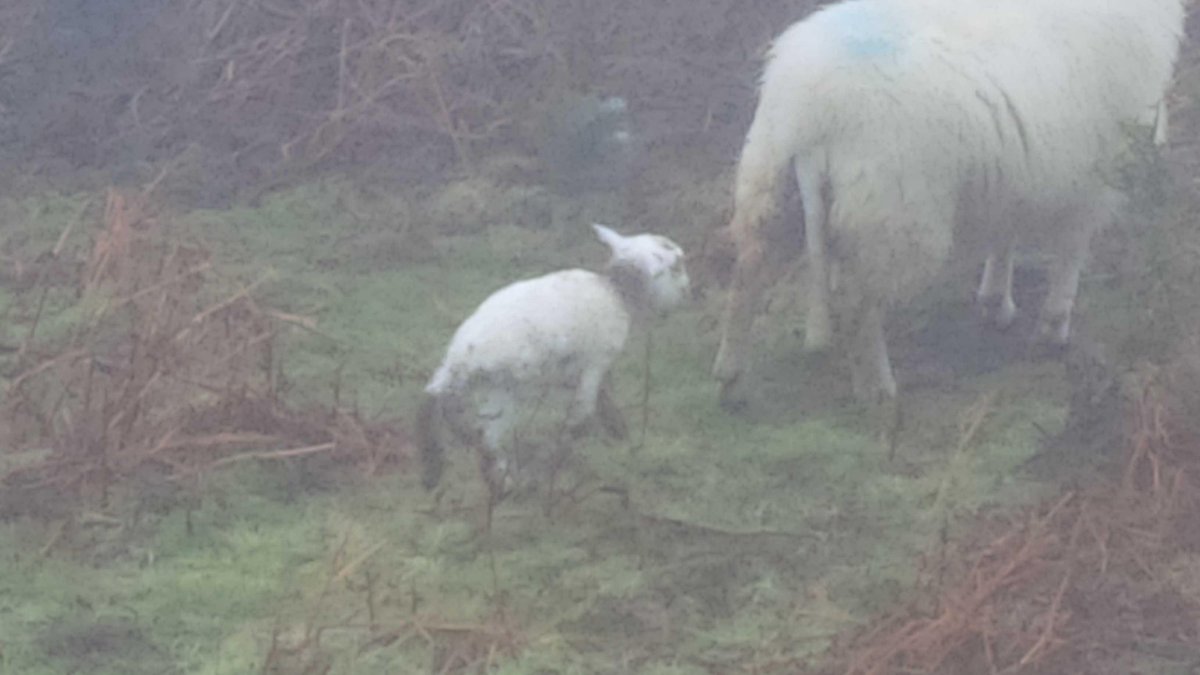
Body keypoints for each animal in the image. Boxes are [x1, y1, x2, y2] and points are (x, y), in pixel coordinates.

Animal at [418, 224, 690, 500]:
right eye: (677, 267)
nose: (688, 291)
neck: (617, 291)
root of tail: (461, 358)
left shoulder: (577, 371)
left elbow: (604, 399)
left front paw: (618, 434)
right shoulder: (595, 361)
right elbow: (583, 416)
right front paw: (561, 455)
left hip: (482, 386)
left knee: (456, 420)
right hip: (505, 387)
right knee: (487, 437)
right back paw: (506, 485)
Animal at [712, 0, 1185, 426]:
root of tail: (812, 112)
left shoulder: (1015, 168)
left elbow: (1005, 232)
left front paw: (996, 301)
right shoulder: (1096, 170)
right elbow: (1071, 249)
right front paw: (1053, 329)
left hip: (770, 184)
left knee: (746, 277)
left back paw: (731, 382)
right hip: (893, 211)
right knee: (859, 304)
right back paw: (878, 390)